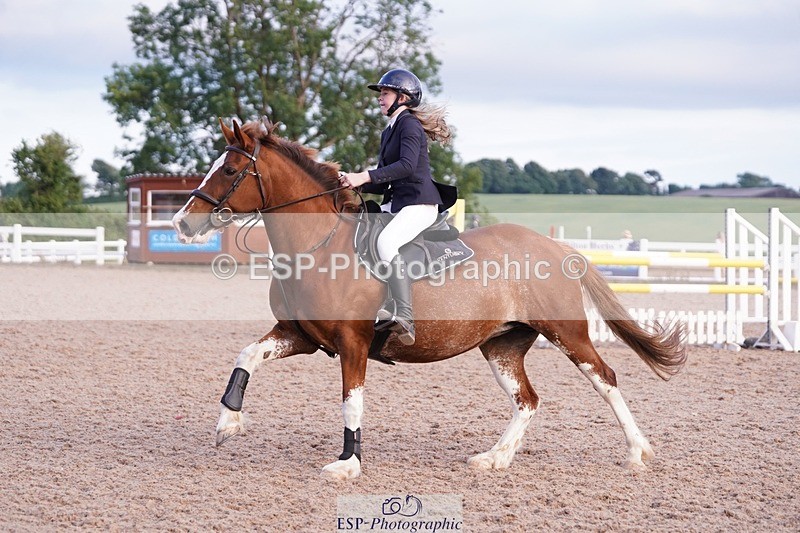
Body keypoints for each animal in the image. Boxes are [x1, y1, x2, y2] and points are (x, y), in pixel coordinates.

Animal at [172, 117, 687, 480]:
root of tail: (556, 247)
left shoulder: (353, 344)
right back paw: (494, 458)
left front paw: (348, 464)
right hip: (502, 344)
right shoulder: (300, 335)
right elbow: (246, 355)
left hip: (566, 334)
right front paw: (228, 423)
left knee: (605, 378)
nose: (182, 222)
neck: (318, 247)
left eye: (231, 169)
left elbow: (352, 402)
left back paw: (638, 452)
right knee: (527, 399)